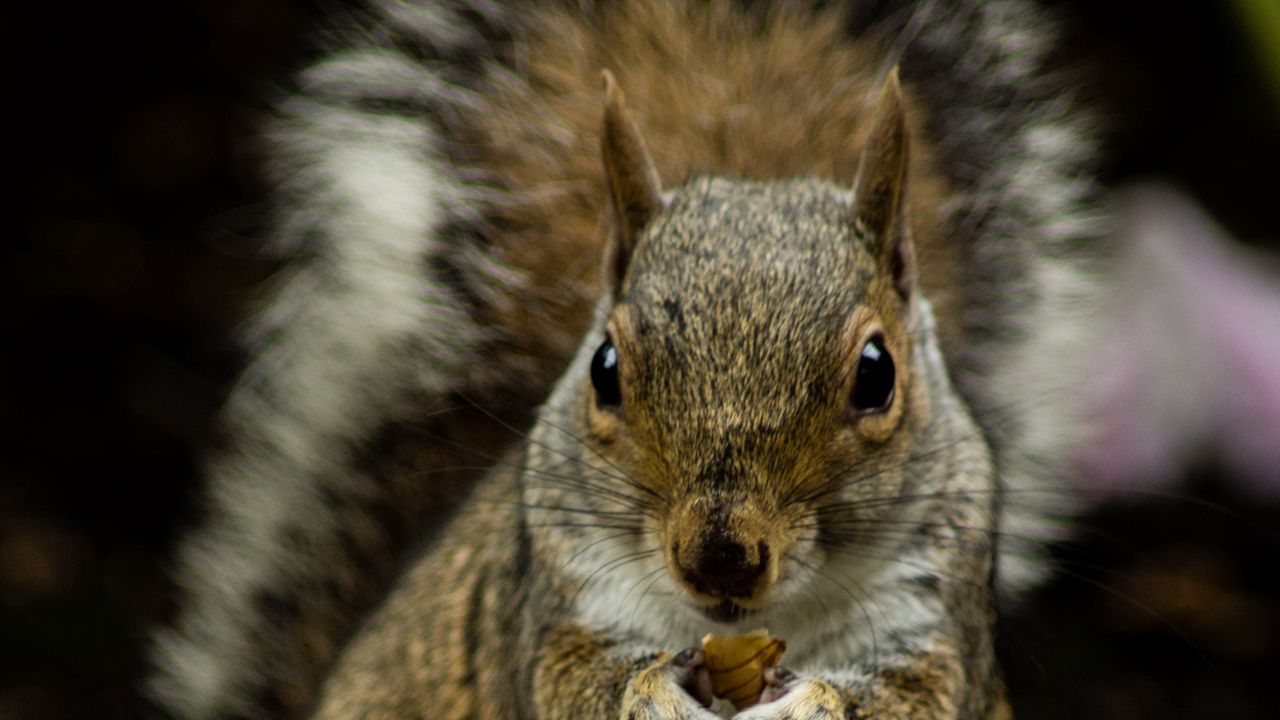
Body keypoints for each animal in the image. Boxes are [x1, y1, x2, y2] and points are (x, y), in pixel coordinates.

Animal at [147, 1, 1090, 717]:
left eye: (877, 373)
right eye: (604, 367)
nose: (720, 558)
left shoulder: (935, 616)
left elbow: (908, 698)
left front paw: (811, 699)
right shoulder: (552, 602)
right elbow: (573, 682)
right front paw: (655, 685)